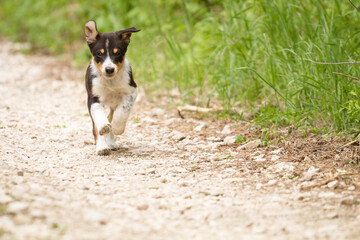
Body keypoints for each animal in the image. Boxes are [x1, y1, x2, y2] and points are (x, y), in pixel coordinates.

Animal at [84, 20, 141, 156]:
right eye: (99, 53)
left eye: (118, 53)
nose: (109, 69)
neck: (110, 82)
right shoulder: (93, 98)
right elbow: (99, 116)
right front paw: (104, 127)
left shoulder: (132, 91)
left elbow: (124, 110)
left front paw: (117, 127)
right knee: (96, 127)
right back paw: (102, 147)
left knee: (112, 115)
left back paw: (112, 142)